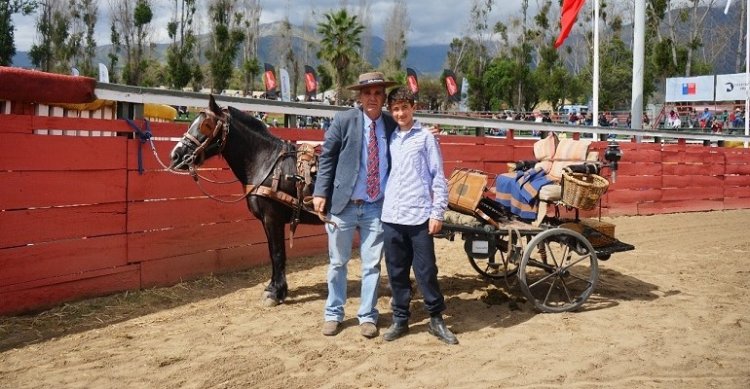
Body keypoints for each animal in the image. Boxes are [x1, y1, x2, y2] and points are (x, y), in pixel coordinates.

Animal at [172, 95, 324, 304]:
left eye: (206, 125)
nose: (175, 155)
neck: (268, 164)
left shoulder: (272, 218)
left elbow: (277, 253)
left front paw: (276, 293)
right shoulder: (267, 221)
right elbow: (271, 252)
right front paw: (274, 287)